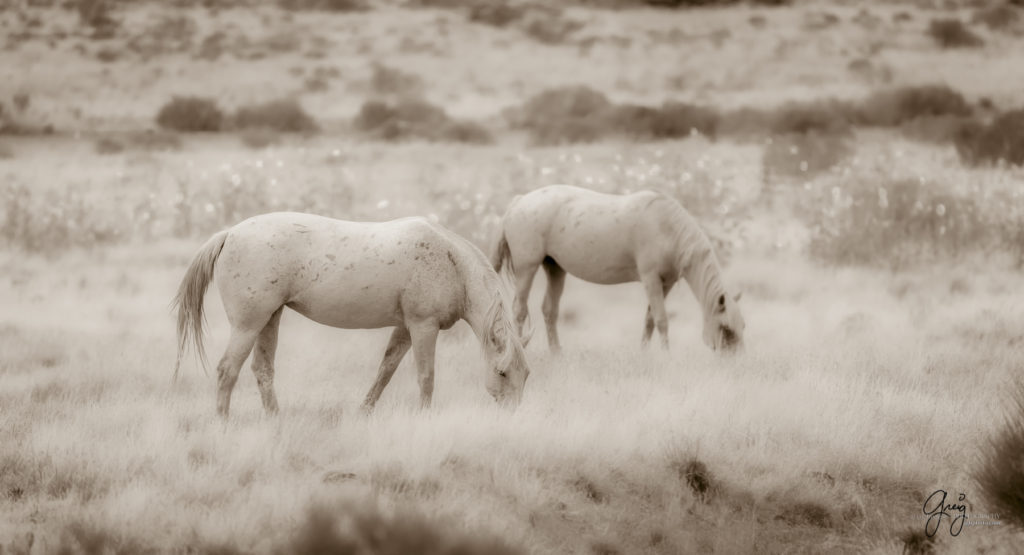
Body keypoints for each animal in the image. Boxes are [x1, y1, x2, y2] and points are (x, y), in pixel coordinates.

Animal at [173, 212, 532, 417]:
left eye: (525, 375)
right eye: (501, 373)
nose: (512, 415)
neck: (452, 263)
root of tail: (230, 234)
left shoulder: (405, 328)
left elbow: (385, 371)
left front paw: (364, 410)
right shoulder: (423, 327)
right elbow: (426, 377)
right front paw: (424, 417)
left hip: (269, 319)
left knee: (262, 370)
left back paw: (276, 420)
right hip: (248, 325)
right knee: (227, 371)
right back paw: (223, 423)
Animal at [489, 186, 745, 352]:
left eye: (742, 326)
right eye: (725, 328)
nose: (734, 361)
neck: (667, 228)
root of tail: (519, 201)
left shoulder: (666, 283)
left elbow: (649, 319)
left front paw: (645, 353)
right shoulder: (651, 280)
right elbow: (661, 319)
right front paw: (665, 355)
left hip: (555, 268)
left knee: (549, 310)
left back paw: (556, 353)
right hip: (527, 268)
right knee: (519, 309)